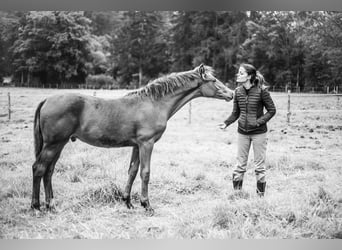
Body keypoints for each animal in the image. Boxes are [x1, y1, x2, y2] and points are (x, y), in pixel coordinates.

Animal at [31, 64, 235, 215]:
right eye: (213, 80)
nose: (231, 94)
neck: (154, 103)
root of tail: (47, 100)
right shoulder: (147, 144)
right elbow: (145, 172)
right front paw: (147, 205)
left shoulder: (137, 146)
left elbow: (132, 171)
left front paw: (128, 202)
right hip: (53, 144)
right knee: (39, 169)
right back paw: (36, 206)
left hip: (59, 144)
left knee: (49, 171)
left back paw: (51, 205)